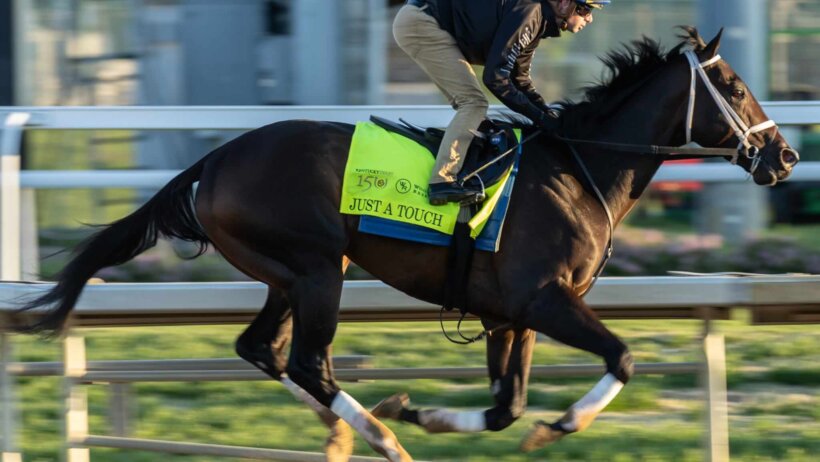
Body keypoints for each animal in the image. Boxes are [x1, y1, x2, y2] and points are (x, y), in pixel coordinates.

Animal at [16, 27, 800, 460]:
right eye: (734, 85)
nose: (784, 156)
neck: (577, 168)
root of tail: (215, 159)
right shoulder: (542, 300)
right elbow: (622, 358)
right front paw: (557, 427)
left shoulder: (508, 317)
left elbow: (505, 406)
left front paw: (423, 411)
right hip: (316, 270)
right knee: (308, 363)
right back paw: (380, 440)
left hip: (287, 274)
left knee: (263, 350)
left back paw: (362, 428)